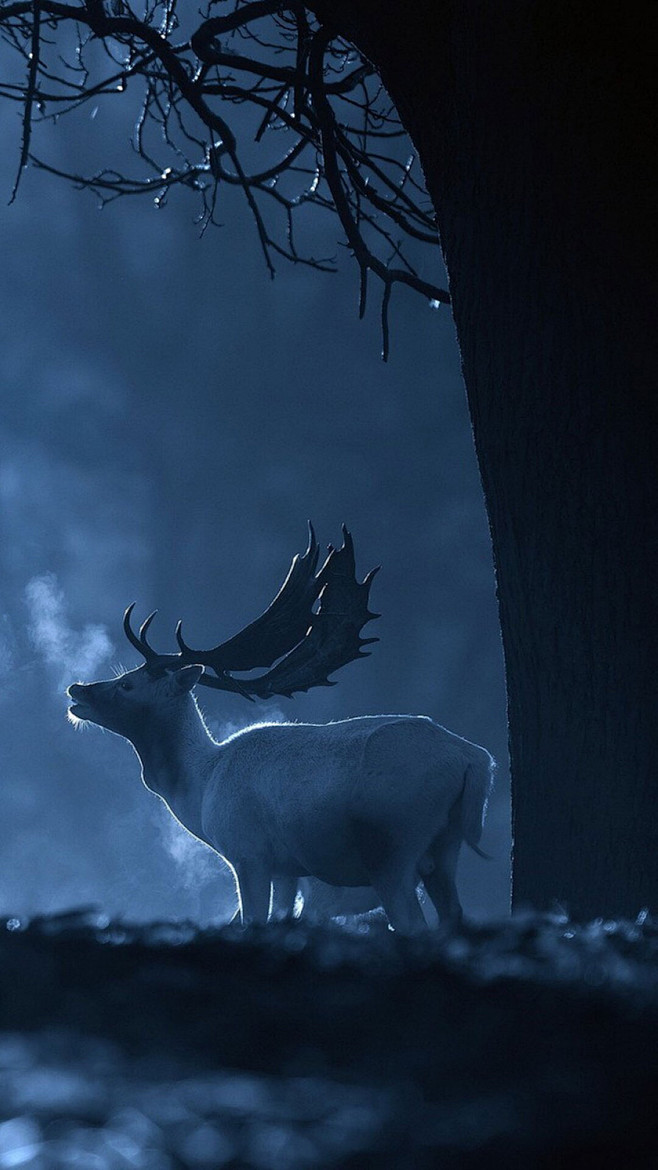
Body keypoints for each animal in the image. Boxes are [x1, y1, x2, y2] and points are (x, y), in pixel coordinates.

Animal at [67, 525, 494, 934]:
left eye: (127, 684)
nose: (77, 689)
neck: (200, 788)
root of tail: (474, 759)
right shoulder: (286, 870)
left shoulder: (248, 854)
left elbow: (252, 919)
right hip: (444, 847)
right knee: (452, 915)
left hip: (393, 844)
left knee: (410, 919)